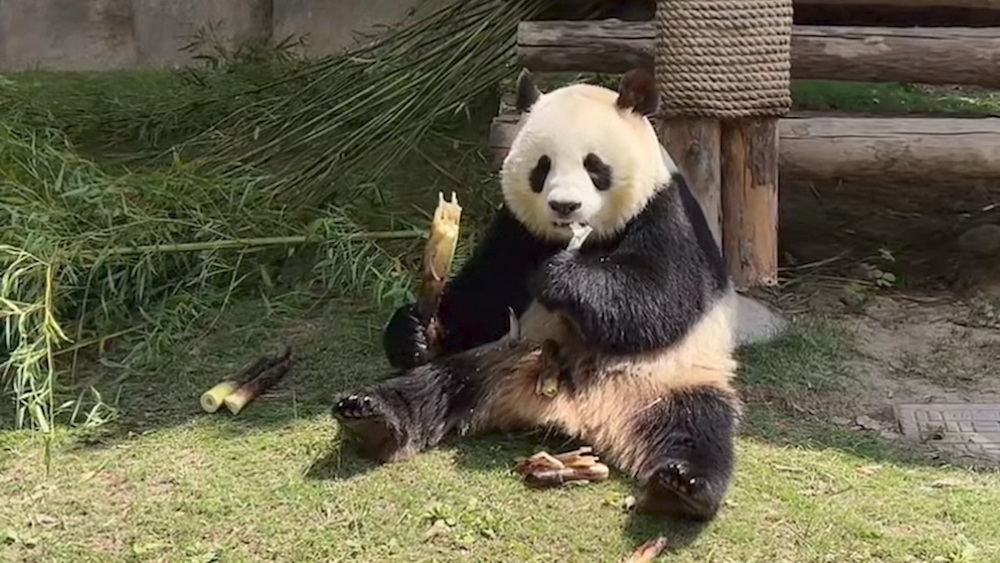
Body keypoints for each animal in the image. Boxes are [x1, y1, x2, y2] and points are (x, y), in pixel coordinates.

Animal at [334, 67, 744, 524]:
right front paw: (415, 332)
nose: (565, 206)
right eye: (542, 167)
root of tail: (577, 412)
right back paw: (371, 415)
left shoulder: (666, 212)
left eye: (594, 165)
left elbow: (661, 297)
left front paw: (559, 277)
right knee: (435, 384)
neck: (581, 238)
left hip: (669, 379)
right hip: (500, 359)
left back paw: (684, 487)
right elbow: (483, 298)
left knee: (698, 425)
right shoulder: (517, 230)